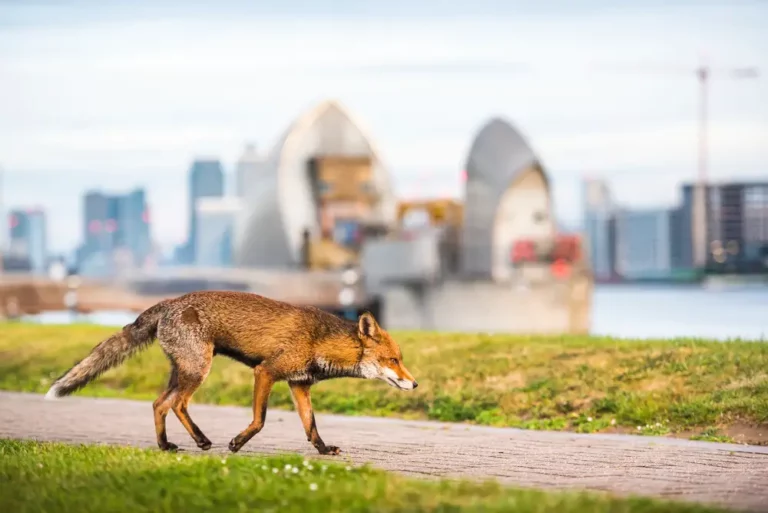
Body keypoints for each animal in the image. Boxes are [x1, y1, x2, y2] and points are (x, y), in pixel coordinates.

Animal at [45, 290, 418, 455]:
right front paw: (237, 443)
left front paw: (324, 451)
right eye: (393, 360)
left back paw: (165, 446)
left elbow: (311, 426)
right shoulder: (266, 372)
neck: (319, 341)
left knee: (158, 404)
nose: (415, 383)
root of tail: (168, 303)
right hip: (198, 370)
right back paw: (200, 440)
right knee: (176, 404)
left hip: (183, 370)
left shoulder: (299, 384)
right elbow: (260, 420)